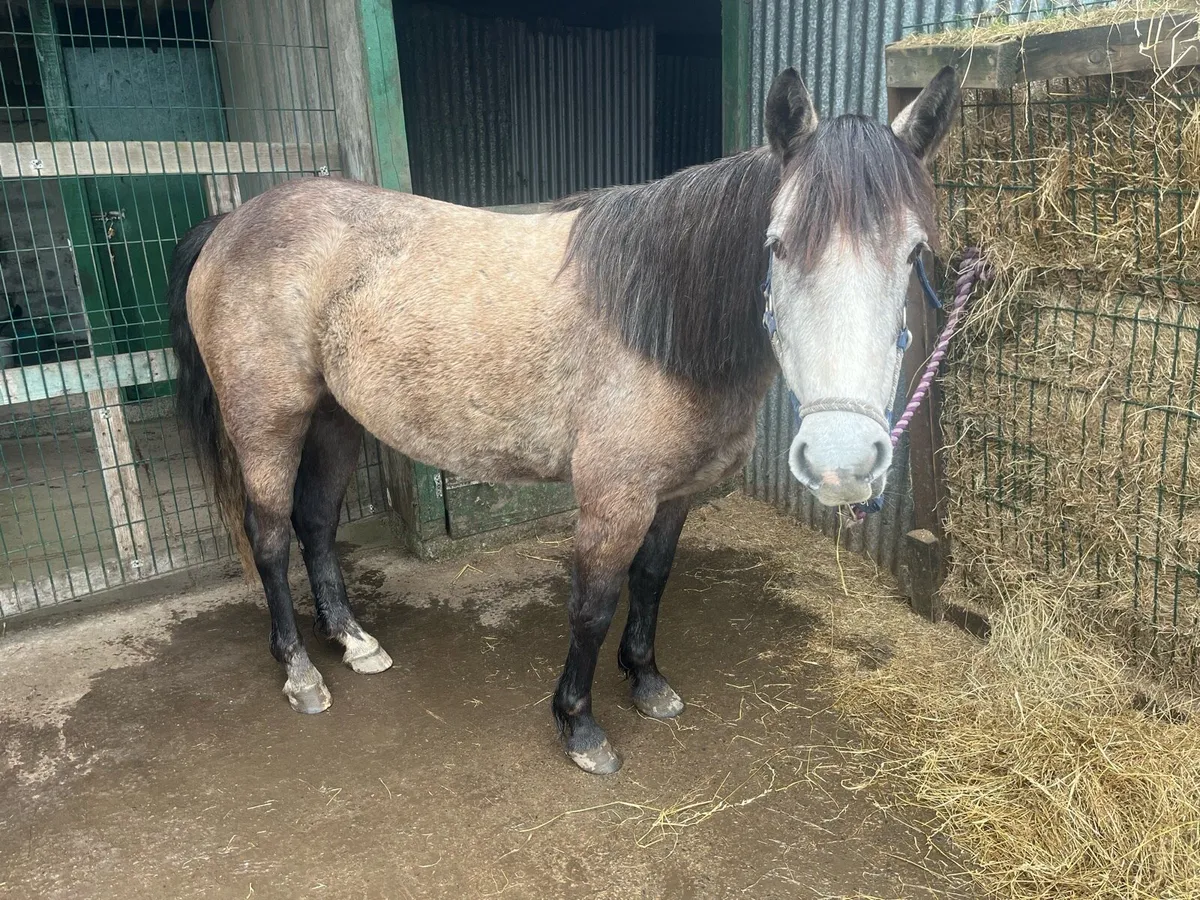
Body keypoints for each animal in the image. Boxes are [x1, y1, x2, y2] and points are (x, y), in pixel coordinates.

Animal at [166, 66, 959, 774]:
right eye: (777, 244)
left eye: (915, 253)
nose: (843, 461)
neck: (658, 318)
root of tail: (234, 222)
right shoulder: (613, 500)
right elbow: (593, 603)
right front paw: (579, 727)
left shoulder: (674, 495)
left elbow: (652, 581)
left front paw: (647, 682)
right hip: (269, 419)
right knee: (270, 536)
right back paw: (301, 672)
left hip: (335, 418)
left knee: (315, 523)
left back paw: (354, 642)